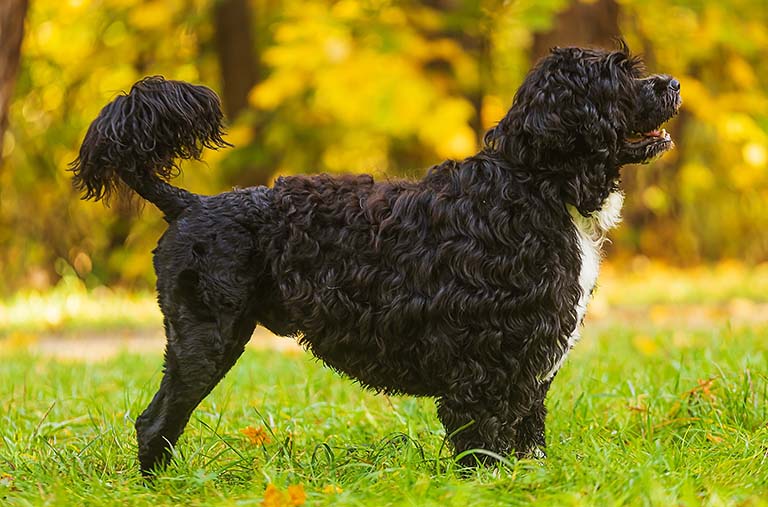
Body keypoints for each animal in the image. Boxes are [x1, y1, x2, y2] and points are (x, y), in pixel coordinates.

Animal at [72, 43, 680, 476]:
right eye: (618, 76)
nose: (671, 83)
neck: (535, 184)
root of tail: (189, 202)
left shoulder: (527, 367)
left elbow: (525, 443)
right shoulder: (484, 369)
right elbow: (486, 447)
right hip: (206, 339)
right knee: (154, 423)